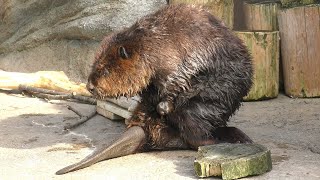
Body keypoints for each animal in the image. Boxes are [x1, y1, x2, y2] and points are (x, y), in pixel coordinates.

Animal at [56, 3, 254, 174]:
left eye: (105, 70)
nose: (90, 86)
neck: (149, 43)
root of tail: (142, 129)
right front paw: (156, 101)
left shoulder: (175, 56)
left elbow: (181, 77)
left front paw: (164, 105)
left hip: (201, 108)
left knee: (194, 129)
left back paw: (229, 139)